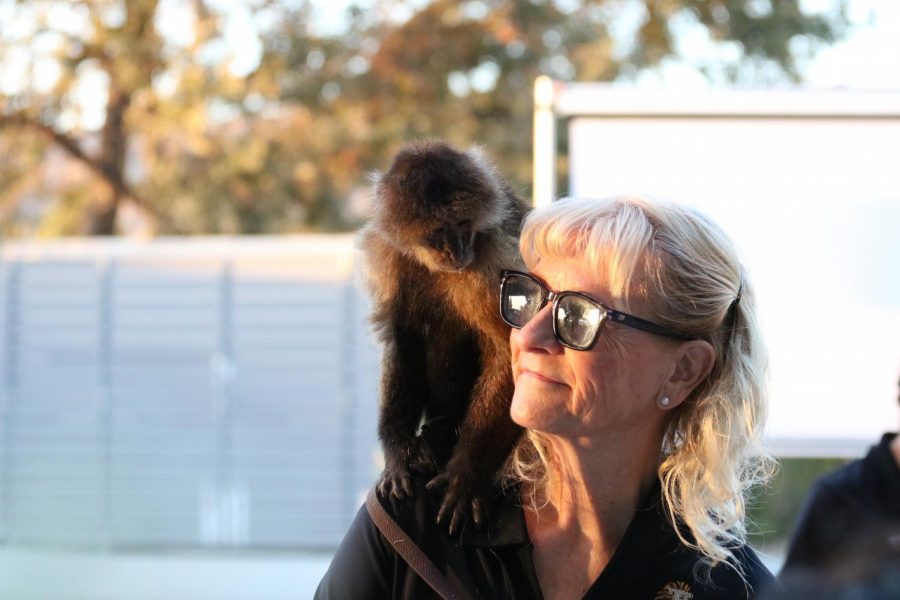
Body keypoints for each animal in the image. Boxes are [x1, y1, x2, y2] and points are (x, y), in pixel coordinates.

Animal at [356, 138, 532, 532]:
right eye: (438, 233)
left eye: (463, 224)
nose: (457, 249)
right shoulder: (388, 254)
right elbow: (400, 339)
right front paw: (399, 451)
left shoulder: (491, 257)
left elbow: (508, 352)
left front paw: (468, 473)